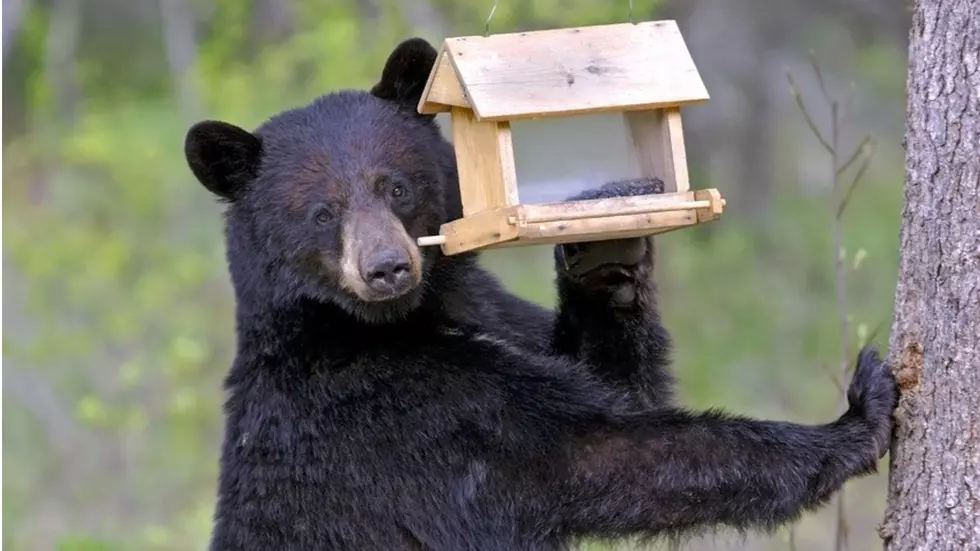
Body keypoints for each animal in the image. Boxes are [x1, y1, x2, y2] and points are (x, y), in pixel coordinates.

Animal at [182, 36, 896, 548]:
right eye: (320, 213)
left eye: (395, 186)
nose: (386, 268)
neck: (389, 322)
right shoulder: (406, 415)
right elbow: (607, 452)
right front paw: (858, 415)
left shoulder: (494, 312)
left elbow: (613, 384)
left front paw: (607, 245)